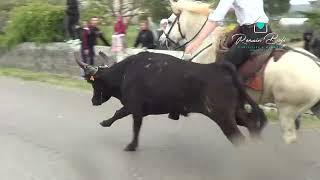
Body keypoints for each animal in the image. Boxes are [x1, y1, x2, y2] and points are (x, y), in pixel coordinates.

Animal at [74, 51, 266, 151]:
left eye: (93, 83)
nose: (93, 101)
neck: (126, 72)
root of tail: (218, 67)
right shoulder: (137, 109)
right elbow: (132, 123)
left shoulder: (133, 106)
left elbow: (123, 118)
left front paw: (128, 143)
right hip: (236, 113)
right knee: (252, 123)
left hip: (223, 117)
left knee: (240, 138)